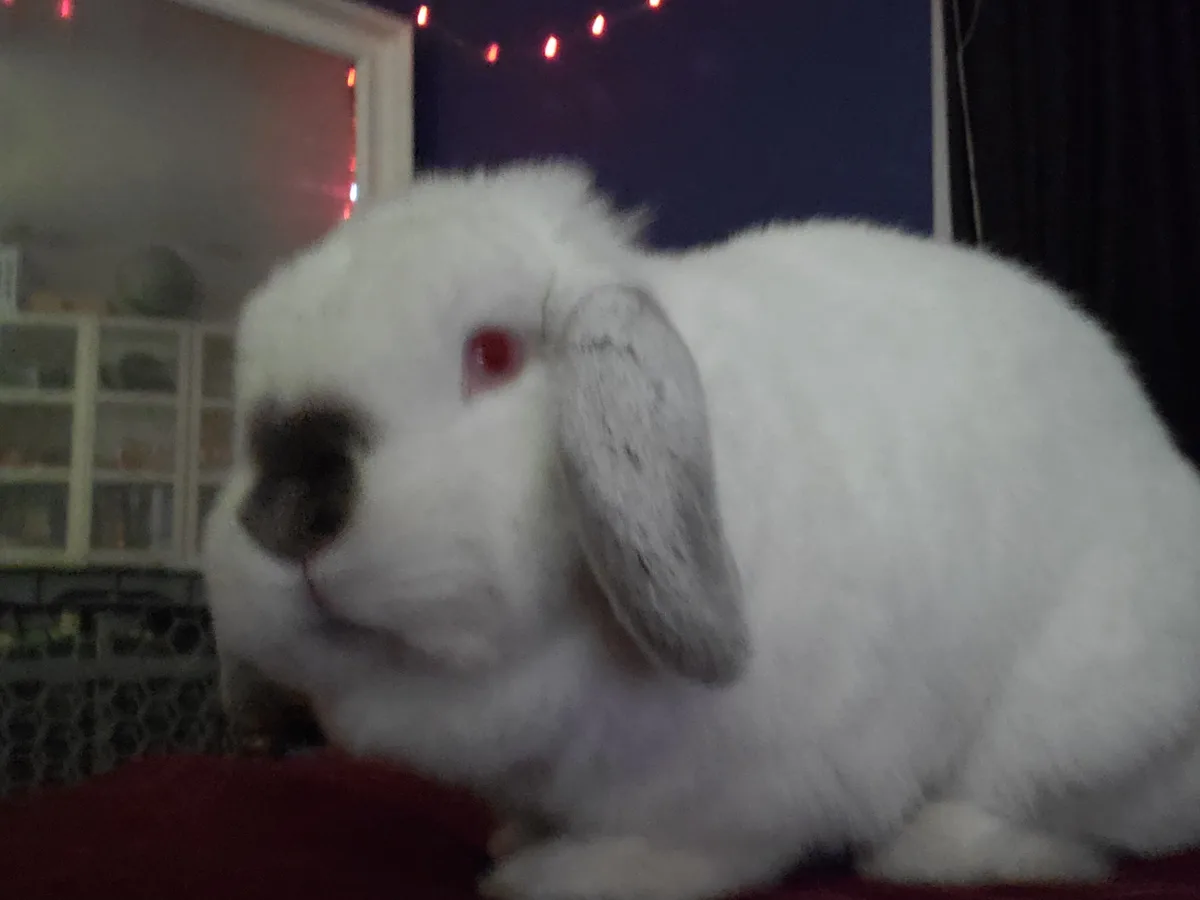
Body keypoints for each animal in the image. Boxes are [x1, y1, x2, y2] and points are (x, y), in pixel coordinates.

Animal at [202, 159, 1200, 900]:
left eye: (492, 354)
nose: (285, 509)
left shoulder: (753, 788)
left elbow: (699, 851)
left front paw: (563, 874)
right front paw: (515, 841)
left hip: (1073, 717)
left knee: (1051, 813)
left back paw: (940, 849)